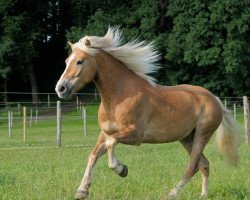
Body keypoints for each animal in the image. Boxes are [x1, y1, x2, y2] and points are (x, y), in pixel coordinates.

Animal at [55, 27, 239, 199]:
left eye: (79, 61)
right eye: (66, 61)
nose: (60, 88)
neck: (119, 96)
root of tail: (214, 99)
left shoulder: (135, 135)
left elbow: (111, 144)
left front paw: (122, 170)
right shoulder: (105, 132)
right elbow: (93, 155)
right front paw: (82, 191)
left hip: (202, 134)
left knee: (192, 166)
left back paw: (173, 193)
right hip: (187, 138)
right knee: (204, 165)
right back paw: (203, 195)